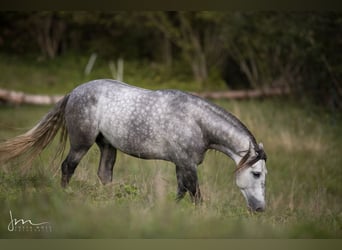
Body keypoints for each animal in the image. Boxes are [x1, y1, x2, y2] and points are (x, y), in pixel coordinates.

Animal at [0, 79, 268, 211]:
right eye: (256, 174)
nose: (260, 209)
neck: (196, 121)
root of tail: (74, 91)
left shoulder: (182, 164)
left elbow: (181, 191)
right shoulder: (188, 164)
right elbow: (195, 194)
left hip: (107, 146)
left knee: (104, 174)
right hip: (81, 143)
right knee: (68, 167)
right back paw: (65, 197)